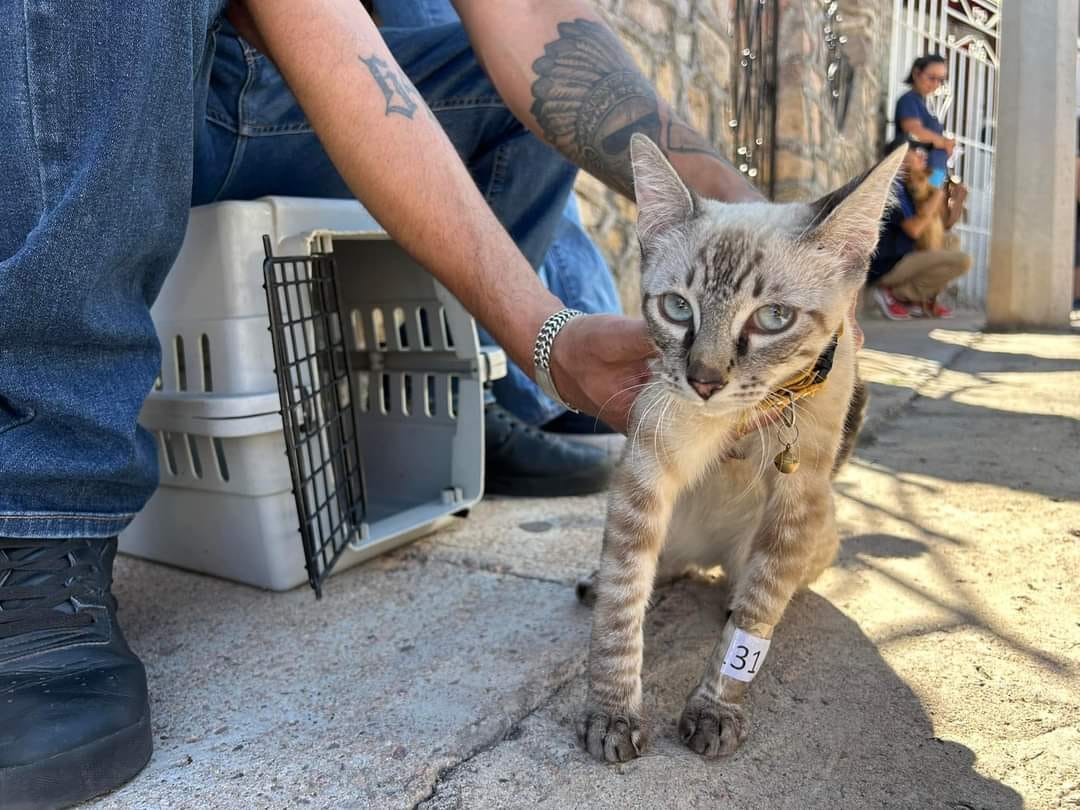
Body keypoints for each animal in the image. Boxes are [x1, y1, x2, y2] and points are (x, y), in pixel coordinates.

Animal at [578, 136, 907, 764]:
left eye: (773, 318)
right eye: (677, 308)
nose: (704, 381)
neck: (740, 422)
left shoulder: (797, 500)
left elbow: (754, 621)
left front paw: (714, 711)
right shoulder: (644, 471)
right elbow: (621, 603)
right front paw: (612, 713)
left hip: (814, 525)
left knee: (751, 586)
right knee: (653, 568)